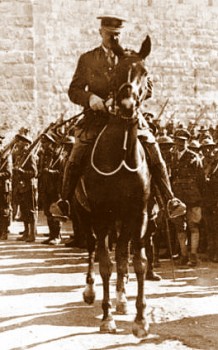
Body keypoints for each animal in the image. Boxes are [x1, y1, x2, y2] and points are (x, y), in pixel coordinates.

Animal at [75, 36, 152, 340]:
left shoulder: (138, 214)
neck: (120, 155)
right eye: (117, 73)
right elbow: (106, 263)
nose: (128, 104)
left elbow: (138, 262)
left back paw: (122, 298)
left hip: (123, 221)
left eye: (145, 73)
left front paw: (141, 319)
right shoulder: (101, 214)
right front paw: (107, 317)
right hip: (86, 215)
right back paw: (91, 290)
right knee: (93, 248)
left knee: (121, 253)